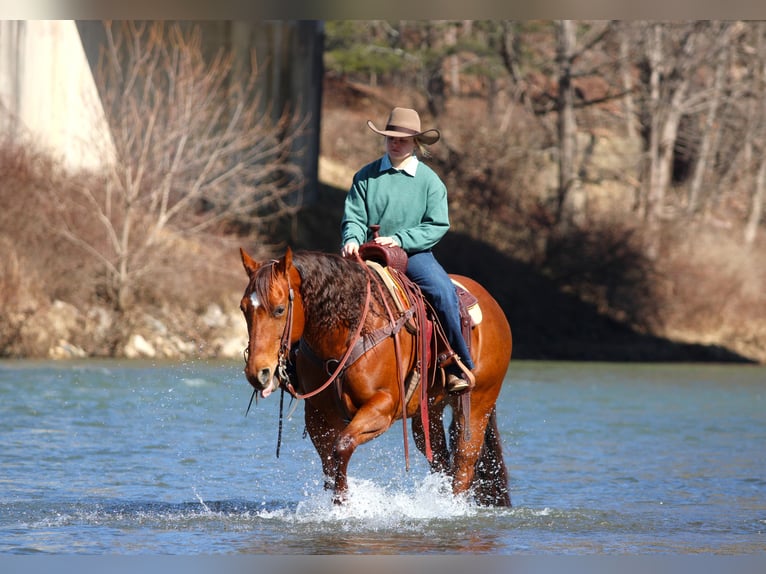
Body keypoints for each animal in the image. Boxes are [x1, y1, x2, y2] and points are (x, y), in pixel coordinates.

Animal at [239, 246, 513, 506]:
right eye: (243, 308)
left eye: (279, 309)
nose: (257, 372)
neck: (350, 332)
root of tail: (494, 306)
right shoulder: (318, 416)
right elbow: (329, 463)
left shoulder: (383, 407)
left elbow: (342, 447)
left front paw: (342, 503)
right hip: (429, 412)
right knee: (438, 457)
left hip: (478, 403)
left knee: (465, 462)